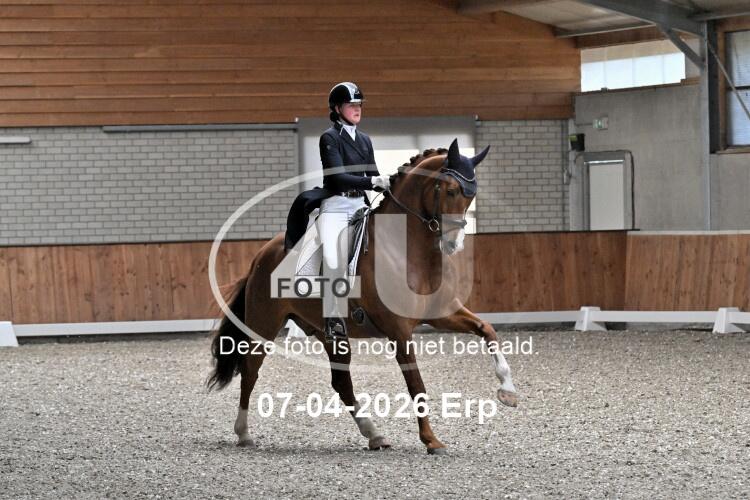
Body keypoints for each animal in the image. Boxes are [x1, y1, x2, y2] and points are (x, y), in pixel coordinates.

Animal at [207, 139, 519, 455]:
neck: (406, 249)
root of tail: (262, 253)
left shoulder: (441, 314)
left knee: (341, 383)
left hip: (330, 334)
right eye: (451, 190)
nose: (454, 244)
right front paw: (431, 440)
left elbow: (487, 330)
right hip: (263, 325)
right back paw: (244, 433)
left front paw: (508, 390)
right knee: (250, 370)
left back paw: (374, 434)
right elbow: (416, 384)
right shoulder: (399, 330)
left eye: (472, 194)